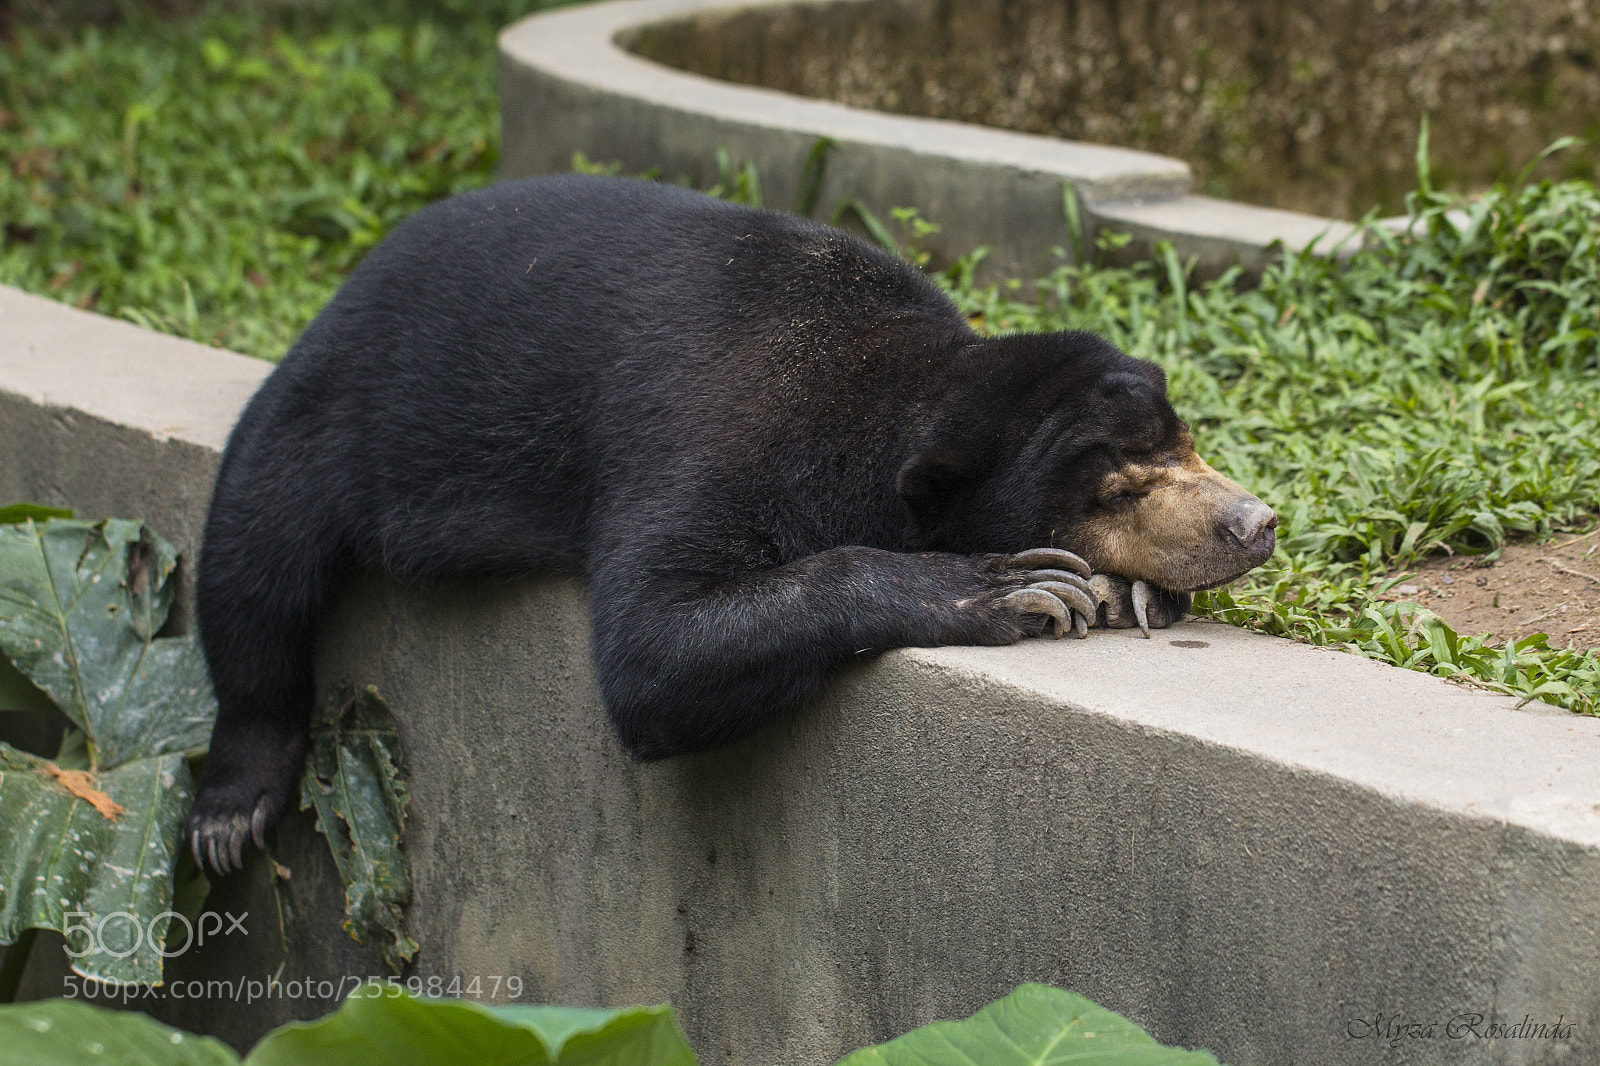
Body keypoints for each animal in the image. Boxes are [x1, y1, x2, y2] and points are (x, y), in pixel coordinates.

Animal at [187, 174, 1276, 873]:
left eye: (1185, 438)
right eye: (1111, 489)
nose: (1253, 522)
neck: (883, 384)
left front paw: (1134, 588)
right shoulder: (717, 433)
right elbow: (656, 645)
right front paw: (1013, 586)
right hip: (330, 417)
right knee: (256, 559)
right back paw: (230, 809)